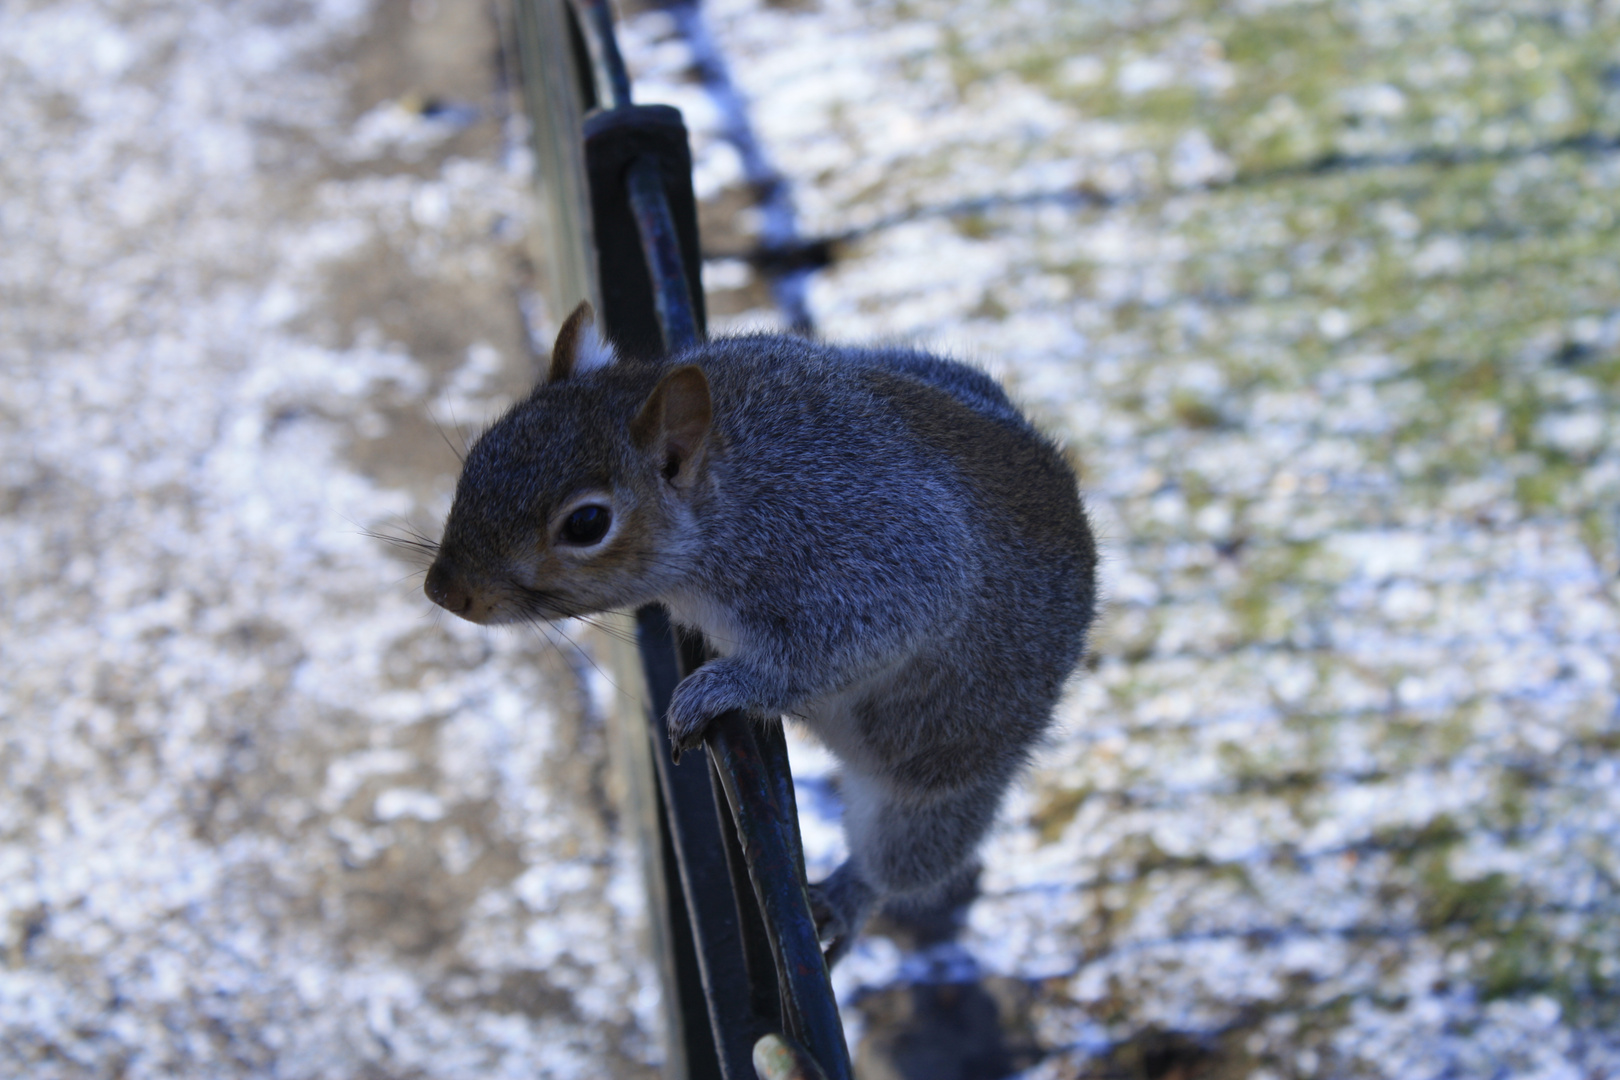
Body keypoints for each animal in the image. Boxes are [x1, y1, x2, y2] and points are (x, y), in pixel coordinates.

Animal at [424, 299, 1095, 958]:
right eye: (484, 450)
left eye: (587, 523)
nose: (443, 590)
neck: (733, 491)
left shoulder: (879, 554)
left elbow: (851, 640)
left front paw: (717, 689)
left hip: (948, 773)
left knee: (904, 857)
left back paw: (849, 897)